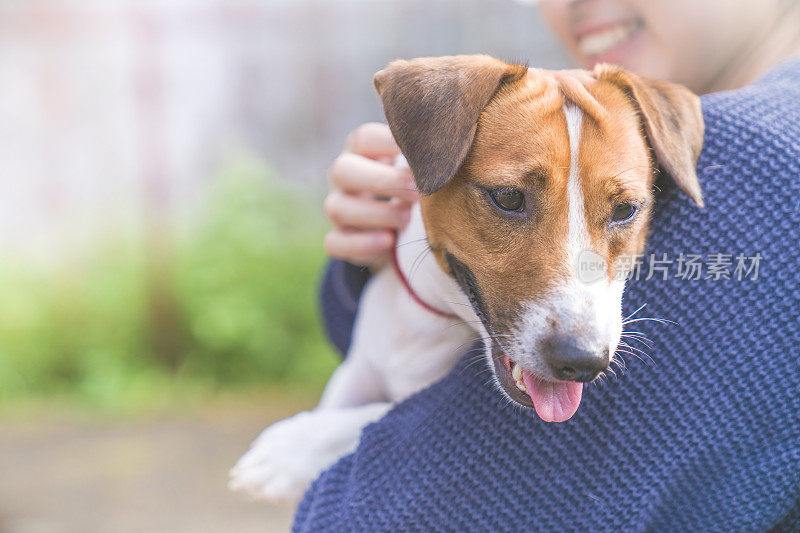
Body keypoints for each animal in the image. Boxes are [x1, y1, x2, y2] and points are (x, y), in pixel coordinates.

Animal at [228, 54, 704, 502]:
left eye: (625, 210)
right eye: (508, 197)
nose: (583, 361)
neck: (430, 319)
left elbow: (373, 417)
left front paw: (290, 450)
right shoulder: (356, 371)